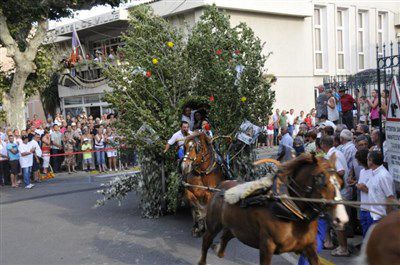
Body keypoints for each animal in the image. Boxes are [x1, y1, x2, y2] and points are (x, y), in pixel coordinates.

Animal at [198, 153, 348, 264]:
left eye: (341, 182)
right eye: (320, 180)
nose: (341, 219)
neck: (291, 213)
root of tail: (220, 186)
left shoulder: (310, 247)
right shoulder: (266, 247)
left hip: (235, 227)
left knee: (226, 235)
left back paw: (219, 250)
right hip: (213, 226)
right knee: (206, 241)